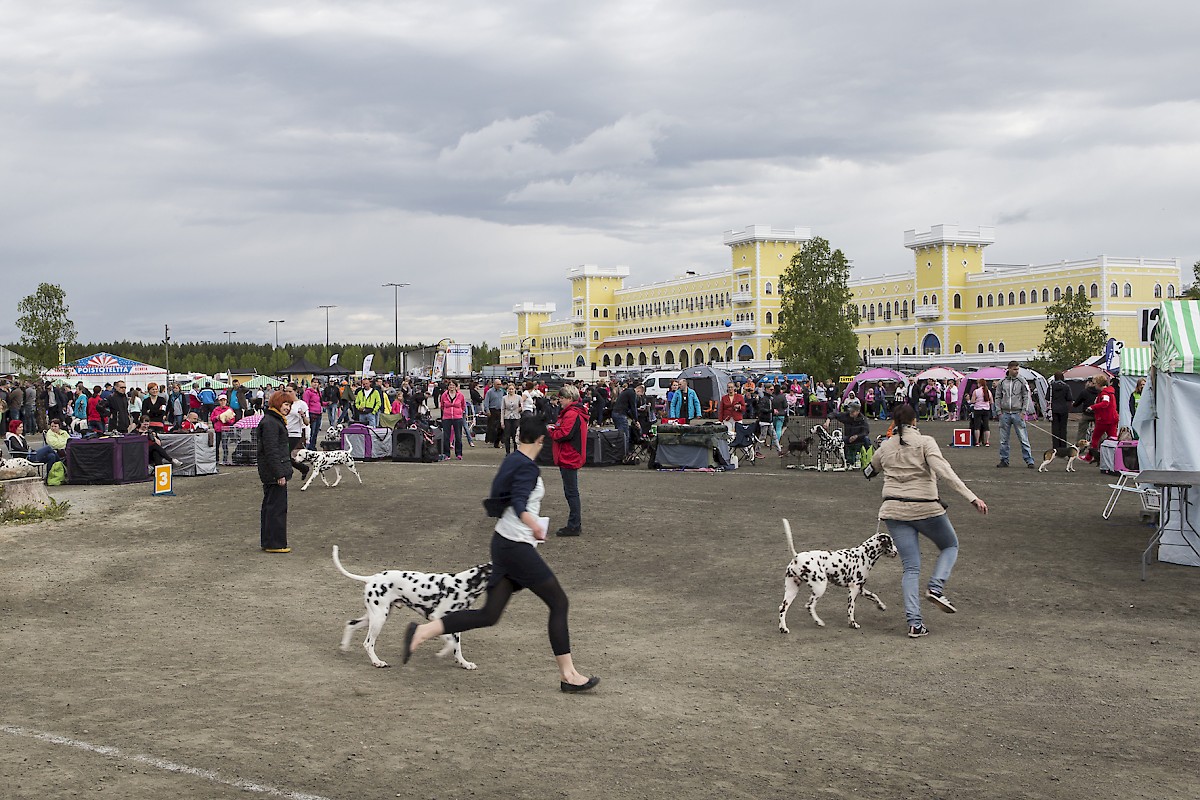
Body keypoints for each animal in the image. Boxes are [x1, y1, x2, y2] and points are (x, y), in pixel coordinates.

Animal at [331, 544, 489, 671]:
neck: (464, 584)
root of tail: (371, 578)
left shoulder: (455, 626)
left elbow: (457, 648)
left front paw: (464, 663)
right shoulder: (436, 617)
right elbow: (450, 643)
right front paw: (442, 653)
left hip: (374, 617)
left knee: (351, 624)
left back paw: (344, 647)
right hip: (378, 620)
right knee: (368, 643)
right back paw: (377, 662)